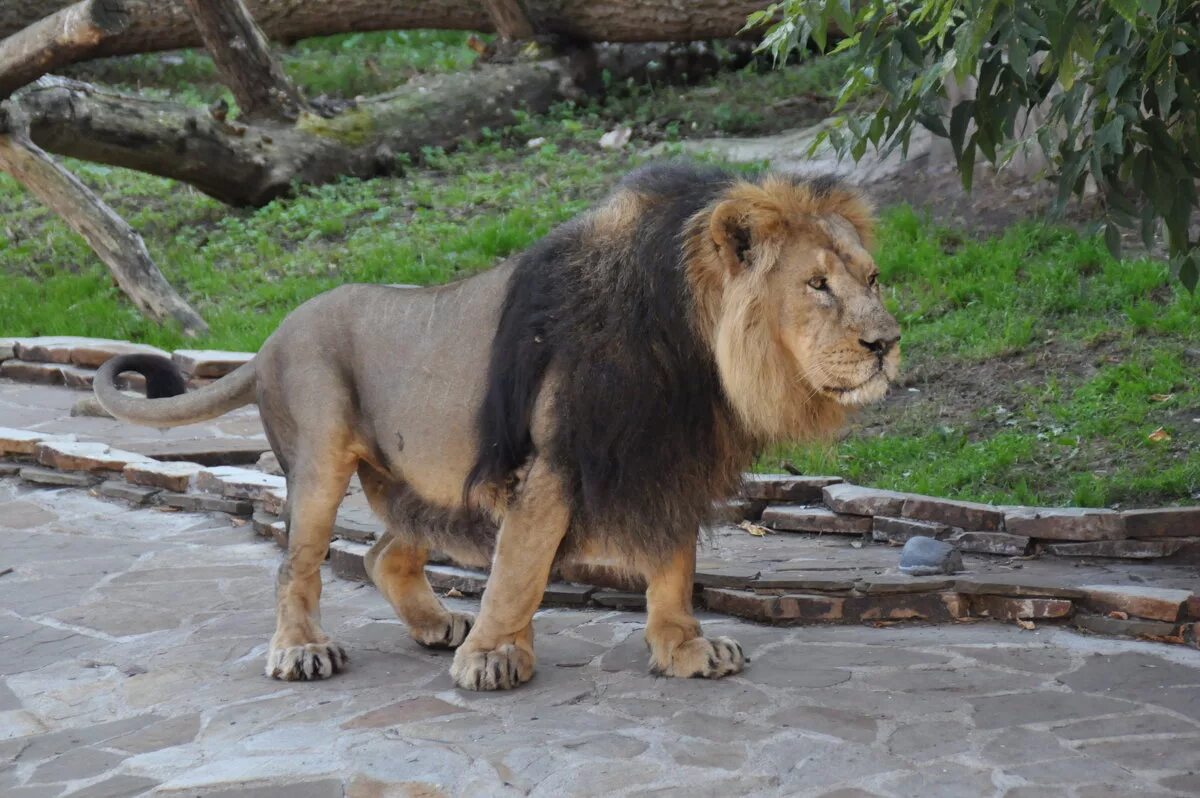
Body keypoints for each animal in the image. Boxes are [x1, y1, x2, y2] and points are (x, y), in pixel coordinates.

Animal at [96, 160, 902, 686]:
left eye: (872, 278)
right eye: (816, 285)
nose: (885, 343)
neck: (693, 354)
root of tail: (266, 339)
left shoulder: (664, 458)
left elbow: (674, 567)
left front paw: (685, 650)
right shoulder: (552, 461)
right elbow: (519, 568)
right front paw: (494, 656)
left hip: (420, 478)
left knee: (383, 553)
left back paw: (433, 625)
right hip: (321, 458)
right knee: (298, 564)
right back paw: (301, 652)